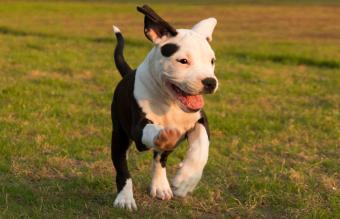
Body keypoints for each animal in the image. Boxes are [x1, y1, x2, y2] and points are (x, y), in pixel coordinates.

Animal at [111, 4, 218, 210]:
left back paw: (160, 186)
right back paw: (125, 198)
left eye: (212, 61)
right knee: (122, 167)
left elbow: (202, 148)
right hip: (119, 134)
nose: (210, 82)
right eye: (183, 61)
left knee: (160, 160)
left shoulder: (200, 119)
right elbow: (151, 130)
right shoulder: (138, 128)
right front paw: (164, 135)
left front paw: (186, 181)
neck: (170, 102)